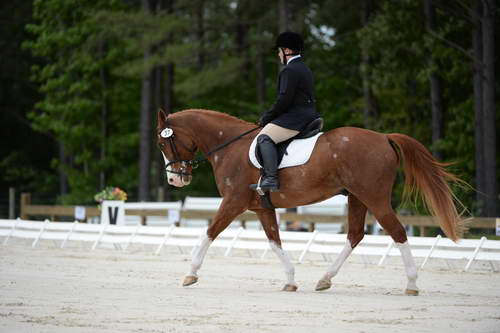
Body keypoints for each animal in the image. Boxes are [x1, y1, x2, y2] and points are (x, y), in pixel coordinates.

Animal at [157, 107, 464, 292]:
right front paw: (291, 280)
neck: (230, 146)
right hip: (357, 199)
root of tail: (383, 137)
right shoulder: (261, 208)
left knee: (397, 232)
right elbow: (275, 242)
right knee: (355, 235)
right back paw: (325, 279)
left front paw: (191, 273)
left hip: (374, 198)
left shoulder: (234, 202)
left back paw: (411, 284)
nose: (175, 180)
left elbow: (209, 233)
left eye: (162, 143)